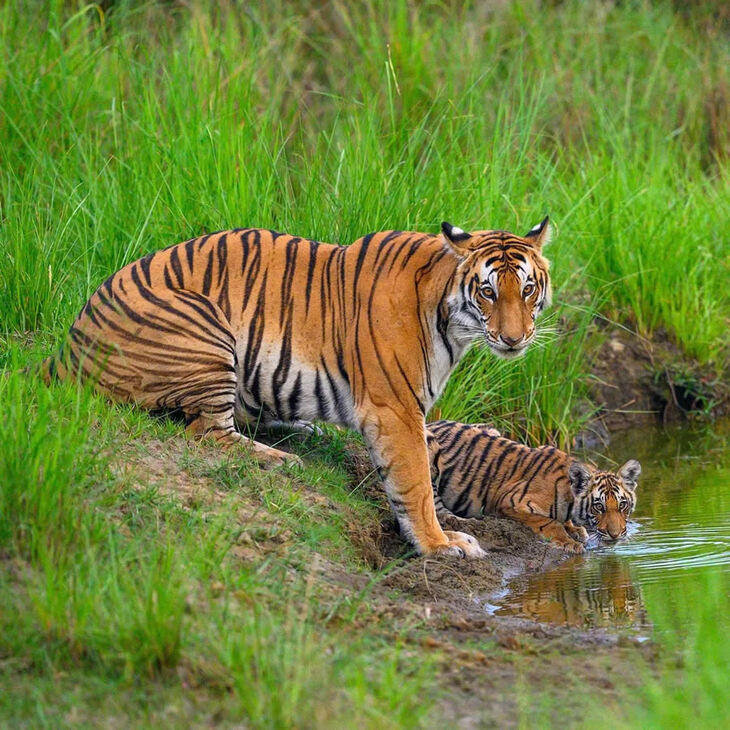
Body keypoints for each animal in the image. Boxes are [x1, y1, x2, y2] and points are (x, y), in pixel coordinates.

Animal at [41, 219, 552, 556]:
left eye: (527, 289)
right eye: (487, 291)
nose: (514, 339)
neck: (452, 323)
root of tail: (67, 345)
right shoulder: (396, 409)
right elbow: (416, 484)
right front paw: (439, 544)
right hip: (205, 326)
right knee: (207, 432)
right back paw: (280, 459)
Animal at [424, 418, 640, 548]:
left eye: (622, 505)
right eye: (598, 507)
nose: (616, 535)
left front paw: (577, 531)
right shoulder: (510, 501)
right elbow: (549, 523)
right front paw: (569, 542)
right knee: (438, 511)